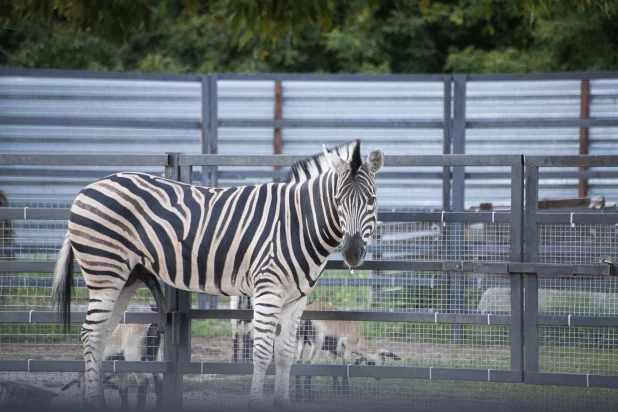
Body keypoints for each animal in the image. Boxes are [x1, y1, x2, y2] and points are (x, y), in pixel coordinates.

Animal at [53, 139, 382, 408]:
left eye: (371, 200)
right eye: (338, 201)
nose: (353, 252)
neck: (297, 224)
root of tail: (89, 187)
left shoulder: (296, 299)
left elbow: (286, 353)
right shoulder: (267, 291)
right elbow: (262, 352)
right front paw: (256, 404)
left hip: (127, 277)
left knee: (101, 335)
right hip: (104, 272)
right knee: (90, 334)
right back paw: (95, 402)